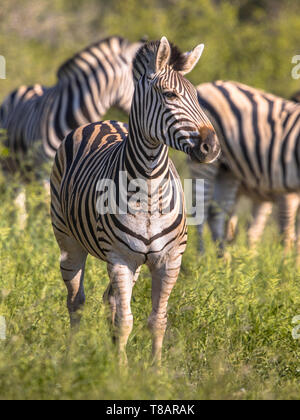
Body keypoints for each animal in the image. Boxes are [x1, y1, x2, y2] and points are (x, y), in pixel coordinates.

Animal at [50, 37, 220, 364]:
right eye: (170, 95)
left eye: (196, 96)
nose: (212, 146)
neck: (150, 188)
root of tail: (102, 120)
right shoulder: (120, 259)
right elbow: (125, 321)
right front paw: (121, 369)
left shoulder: (169, 260)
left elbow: (157, 320)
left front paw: (154, 369)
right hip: (68, 240)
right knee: (76, 301)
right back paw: (71, 358)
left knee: (108, 300)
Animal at [190, 79, 300, 256]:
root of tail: (207, 85)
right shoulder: (286, 191)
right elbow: (287, 236)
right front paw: (286, 262)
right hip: (205, 163)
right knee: (202, 212)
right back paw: (202, 258)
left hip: (227, 171)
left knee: (219, 215)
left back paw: (226, 259)